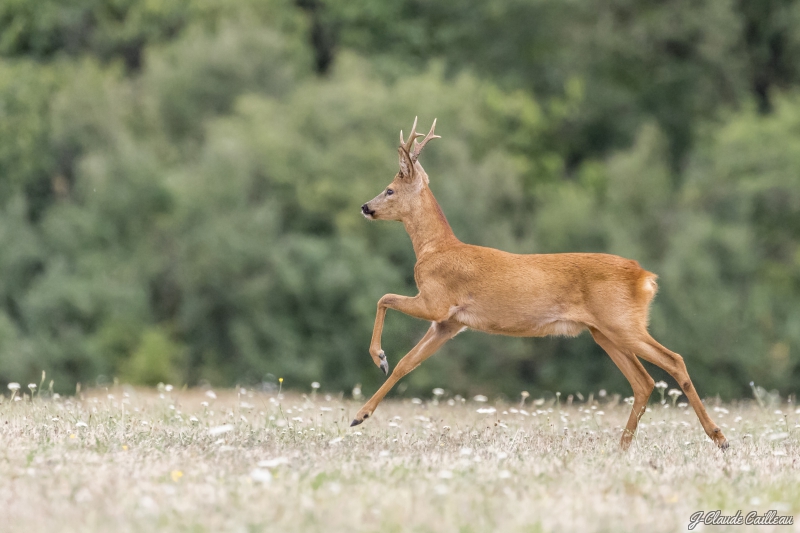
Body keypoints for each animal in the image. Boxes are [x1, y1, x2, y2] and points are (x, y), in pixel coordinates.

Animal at [354, 117, 728, 448]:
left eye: (389, 189)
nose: (365, 207)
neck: (434, 249)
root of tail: (645, 277)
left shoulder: (436, 301)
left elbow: (383, 298)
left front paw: (377, 359)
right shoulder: (450, 323)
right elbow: (406, 364)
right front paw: (361, 413)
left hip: (622, 323)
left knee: (673, 360)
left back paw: (718, 437)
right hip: (603, 331)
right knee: (644, 381)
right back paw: (623, 446)